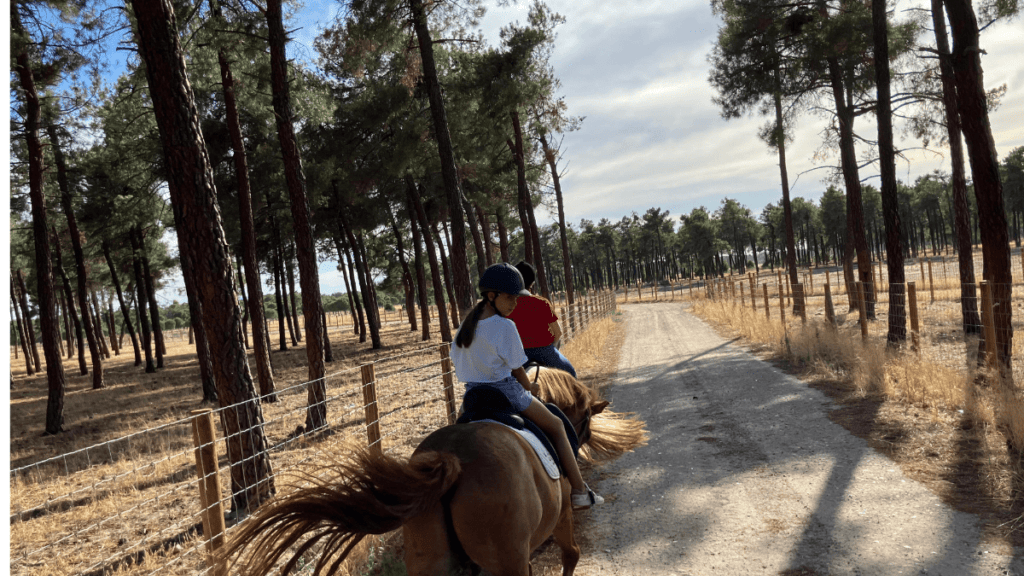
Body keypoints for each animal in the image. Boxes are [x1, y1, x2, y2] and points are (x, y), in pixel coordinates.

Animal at [220, 366, 646, 576]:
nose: (582, 440)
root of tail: (453, 462)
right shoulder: (559, 520)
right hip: (504, 559)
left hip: (431, 562)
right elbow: (571, 555)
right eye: (585, 422)